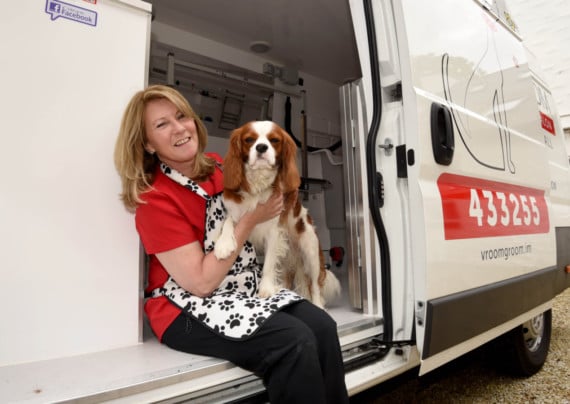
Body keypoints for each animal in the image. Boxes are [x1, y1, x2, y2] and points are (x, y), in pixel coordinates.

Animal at [213, 120, 341, 308]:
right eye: (249, 139)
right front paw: (223, 244)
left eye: (274, 140)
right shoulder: (237, 213)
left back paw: (318, 304)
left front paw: (266, 288)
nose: (261, 147)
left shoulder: (273, 232)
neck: (258, 182)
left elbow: (268, 265)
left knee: (315, 286)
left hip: (310, 252)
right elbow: (228, 221)